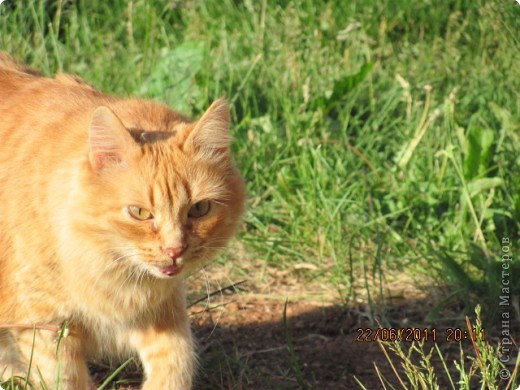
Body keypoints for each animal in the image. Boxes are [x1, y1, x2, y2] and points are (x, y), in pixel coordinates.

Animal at [0, 52, 246, 390]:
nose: (175, 250)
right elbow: (66, 380)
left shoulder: (162, 316)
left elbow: (177, 364)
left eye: (199, 209)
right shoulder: (45, 327)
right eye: (140, 213)